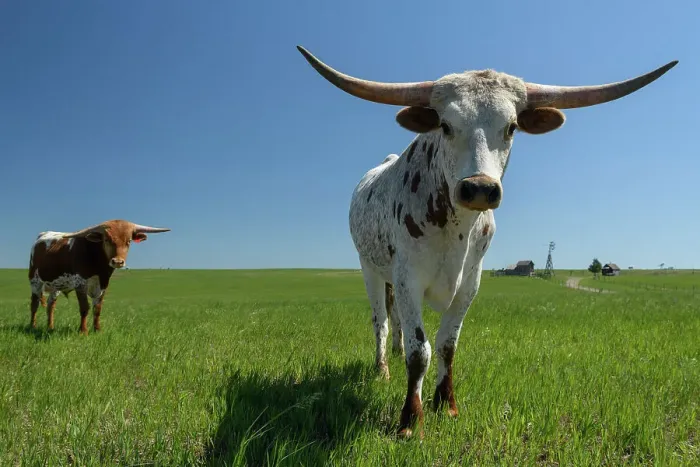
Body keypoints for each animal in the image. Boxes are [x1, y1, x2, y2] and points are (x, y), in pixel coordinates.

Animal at [28, 219, 170, 335]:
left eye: (128, 241)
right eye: (106, 240)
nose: (117, 262)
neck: (99, 266)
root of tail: (43, 235)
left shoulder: (103, 285)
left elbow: (97, 309)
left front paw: (97, 330)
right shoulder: (80, 283)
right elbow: (85, 307)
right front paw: (83, 331)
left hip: (56, 285)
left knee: (51, 305)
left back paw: (50, 327)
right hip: (35, 281)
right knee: (34, 304)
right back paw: (32, 326)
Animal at [297, 45, 677, 438]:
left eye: (511, 127)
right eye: (445, 125)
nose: (479, 188)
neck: (456, 230)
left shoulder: (470, 282)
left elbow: (447, 345)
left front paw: (446, 405)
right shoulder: (408, 278)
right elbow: (421, 351)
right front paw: (410, 419)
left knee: (397, 322)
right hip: (370, 269)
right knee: (382, 323)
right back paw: (383, 368)